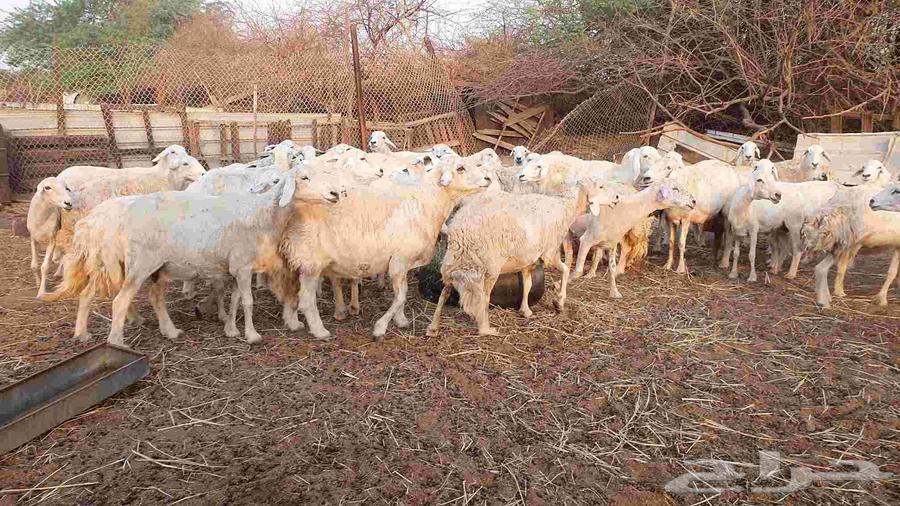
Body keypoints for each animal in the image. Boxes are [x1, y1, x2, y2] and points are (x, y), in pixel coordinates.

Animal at [42, 168, 345, 345]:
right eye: (304, 178)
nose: (334, 193)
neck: (263, 213)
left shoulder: (235, 267)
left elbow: (235, 299)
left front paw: (231, 329)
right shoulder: (243, 265)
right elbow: (247, 302)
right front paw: (252, 335)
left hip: (151, 267)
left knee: (145, 297)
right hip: (139, 264)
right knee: (119, 300)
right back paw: (117, 341)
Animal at [280, 156, 492, 340]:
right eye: (460, 168)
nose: (488, 178)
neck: (425, 206)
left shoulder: (404, 264)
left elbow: (402, 295)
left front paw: (401, 320)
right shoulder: (399, 261)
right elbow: (400, 297)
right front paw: (380, 328)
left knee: (290, 293)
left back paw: (293, 323)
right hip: (311, 264)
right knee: (306, 299)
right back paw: (319, 331)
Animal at [425, 180, 622, 336]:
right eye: (601, 186)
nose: (617, 197)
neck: (565, 207)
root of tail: (461, 230)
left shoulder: (529, 259)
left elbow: (527, 284)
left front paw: (525, 310)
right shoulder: (549, 253)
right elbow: (566, 270)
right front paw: (559, 302)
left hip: (455, 260)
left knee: (445, 291)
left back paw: (433, 327)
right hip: (488, 265)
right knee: (484, 298)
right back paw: (485, 328)